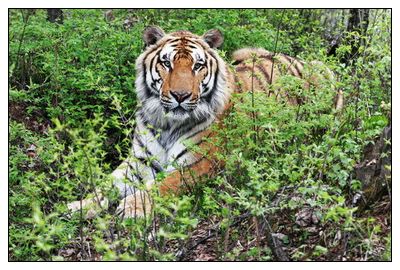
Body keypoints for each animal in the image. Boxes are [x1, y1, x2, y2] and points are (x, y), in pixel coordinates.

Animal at [67, 26, 342, 218]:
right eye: (166, 63)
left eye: (198, 66)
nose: (180, 96)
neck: (167, 124)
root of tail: (299, 58)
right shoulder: (139, 161)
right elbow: (106, 183)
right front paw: (79, 206)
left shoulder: (202, 164)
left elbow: (164, 184)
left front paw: (132, 207)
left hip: (324, 78)